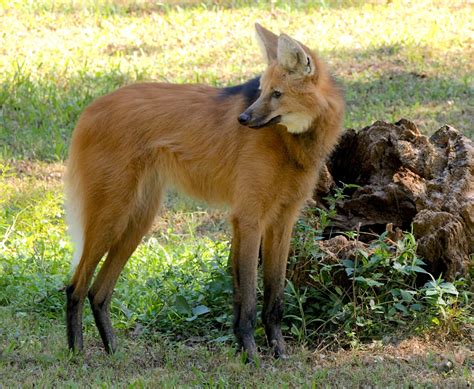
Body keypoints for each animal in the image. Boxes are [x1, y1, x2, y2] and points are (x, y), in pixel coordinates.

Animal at [65, 23, 342, 358]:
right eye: (262, 91)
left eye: (277, 94)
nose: (243, 119)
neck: (292, 143)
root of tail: (90, 108)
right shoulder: (248, 218)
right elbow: (248, 299)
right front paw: (251, 354)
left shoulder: (281, 221)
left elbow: (273, 297)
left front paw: (277, 351)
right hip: (113, 216)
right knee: (75, 287)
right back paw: (77, 354)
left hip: (138, 220)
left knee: (98, 292)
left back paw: (113, 351)